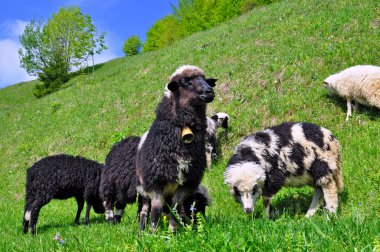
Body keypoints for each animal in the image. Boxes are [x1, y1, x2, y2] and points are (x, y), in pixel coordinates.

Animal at [136, 65, 217, 232]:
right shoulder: (155, 184)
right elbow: (156, 210)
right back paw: (142, 231)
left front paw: (173, 232)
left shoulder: (187, 183)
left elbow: (176, 207)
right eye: (185, 82)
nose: (209, 92)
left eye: (205, 80)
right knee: (145, 210)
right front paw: (154, 233)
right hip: (143, 189)